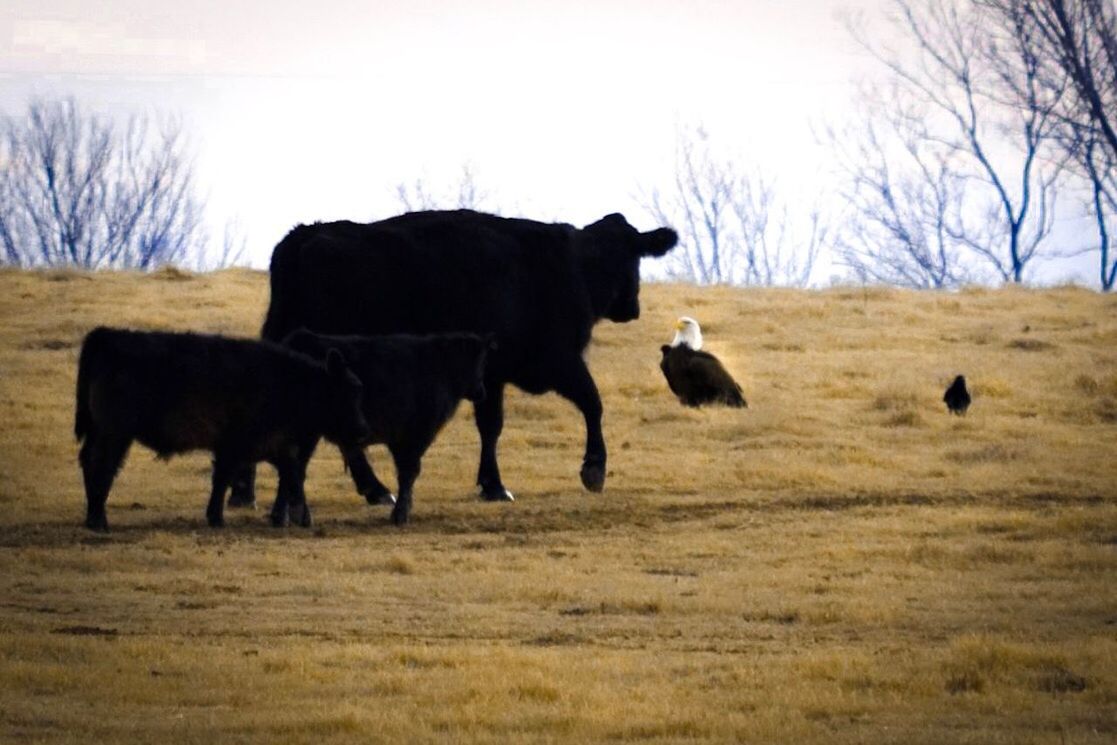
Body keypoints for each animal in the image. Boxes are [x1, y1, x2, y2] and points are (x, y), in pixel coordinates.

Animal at [75, 326, 370, 529]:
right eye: (348, 393)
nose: (361, 430)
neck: (292, 383)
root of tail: (107, 335)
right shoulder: (238, 444)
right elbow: (226, 478)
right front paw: (217, 517)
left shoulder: (276, 447)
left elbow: (289, 477)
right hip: (114, 434)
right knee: (102, 466)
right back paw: (98, 520)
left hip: (102, 432)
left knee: (89, 461)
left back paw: (93, 516)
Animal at [231, 209, 674, 507]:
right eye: (632, 258)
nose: (632, 307)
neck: (574, 266)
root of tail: (304, 236)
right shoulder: (557, 360)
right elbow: (592, 402)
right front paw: (593, 469)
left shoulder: (493, 374)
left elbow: (491, 426)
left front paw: (492, 484)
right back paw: (375, 489)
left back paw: (245, 492)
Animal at [279, 328, 493, 527]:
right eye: (479, 362)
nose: (481, 392)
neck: (441, 367)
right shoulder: (415, 436)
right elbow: (409, 471)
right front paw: (400, 514)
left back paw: (282, 517)